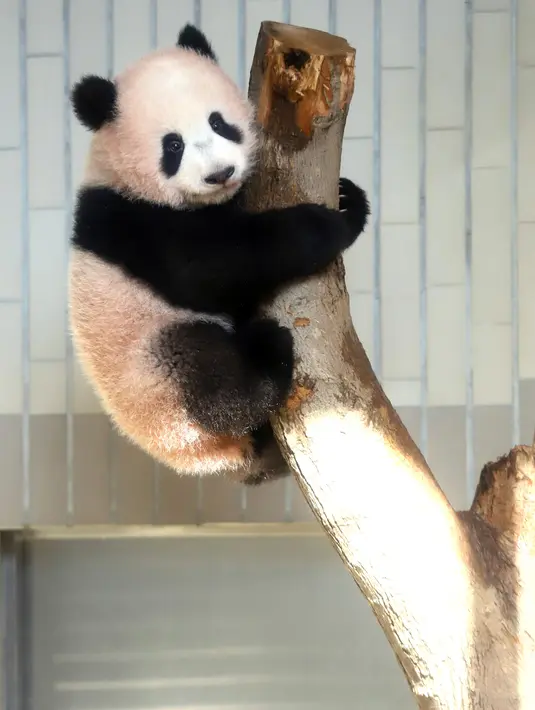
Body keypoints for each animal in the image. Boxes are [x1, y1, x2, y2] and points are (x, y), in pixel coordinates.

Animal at [69, 23, 370, 486]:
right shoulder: (130, 220)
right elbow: (207, 268)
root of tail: (225, 459)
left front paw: (349, 198)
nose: (219, 173)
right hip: (153, 378)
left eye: (219, 122)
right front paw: (328, 226)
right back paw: (267, 356)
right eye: (173, 145)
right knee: (205, 379)